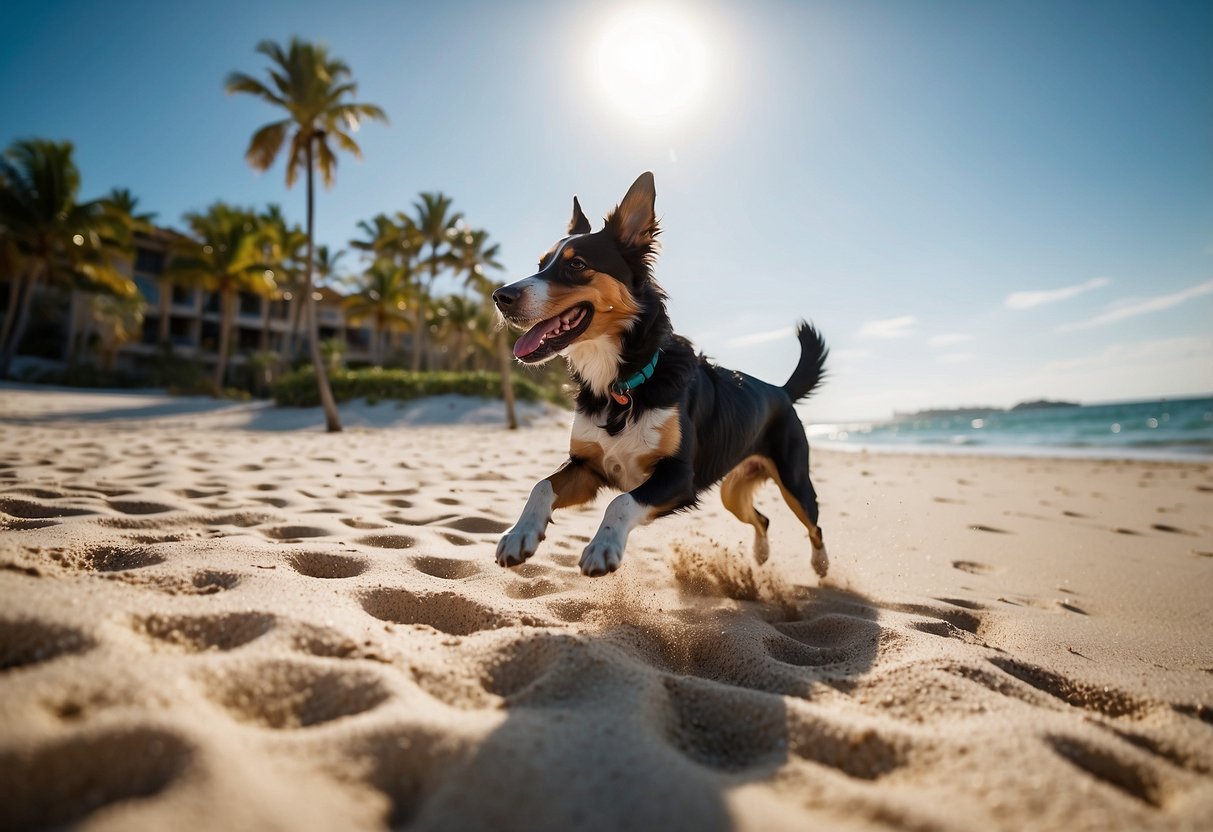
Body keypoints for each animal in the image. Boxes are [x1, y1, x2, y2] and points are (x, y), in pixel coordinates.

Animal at [490, 172, 824, 577]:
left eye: (577, 264)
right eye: (540, 264)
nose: (500, 296)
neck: (622, 382)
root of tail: (780, 390)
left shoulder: (679, 477)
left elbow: (619, 504)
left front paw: (603, 547)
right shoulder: (588, 467)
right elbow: (541, 485)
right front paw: (519, 534)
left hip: (794, 481)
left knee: (813, 524)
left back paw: (821, 565)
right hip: (732, 490)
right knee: (763, 519)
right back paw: (760, 555)